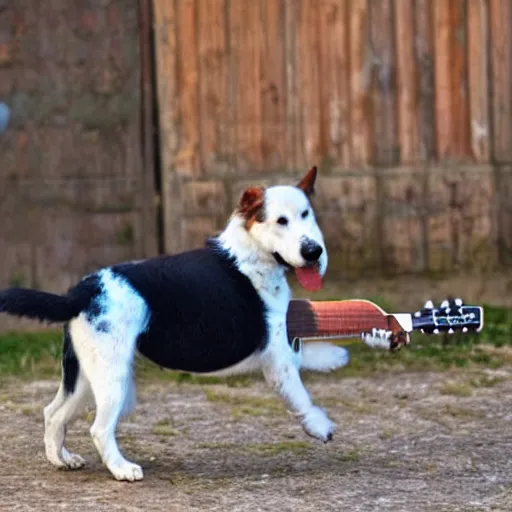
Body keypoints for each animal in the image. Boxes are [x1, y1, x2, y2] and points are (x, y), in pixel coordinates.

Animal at [0, 167, 352, 480]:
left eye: (306, 214)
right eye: (281, 221)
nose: (314, 251)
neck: (251, 253)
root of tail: (80, 293)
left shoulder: (279, 348)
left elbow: (307, 353)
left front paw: (335, 357)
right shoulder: (276, 356)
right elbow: (301, 396)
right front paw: (320, 426)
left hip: (85, 377)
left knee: (53, 413)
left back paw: (62, 459)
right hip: (114, 380)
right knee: (98, 429)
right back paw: (122, 470)